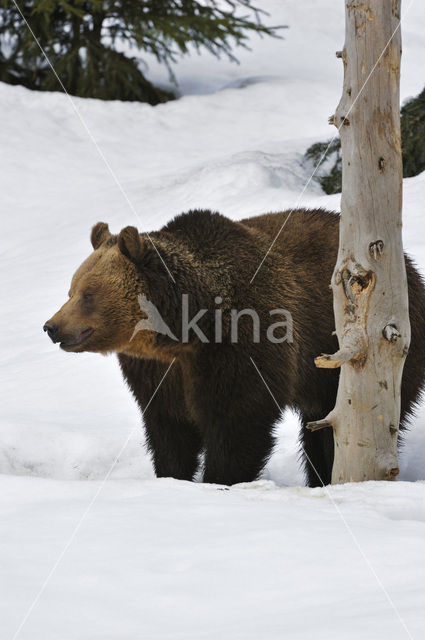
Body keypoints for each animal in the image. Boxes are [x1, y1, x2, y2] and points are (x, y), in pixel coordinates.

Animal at [43, 210, 424, 484]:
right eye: (71, 289)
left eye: (88, 294)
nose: (52, 327)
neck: (186, 331)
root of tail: (409, 265)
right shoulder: (160, 373)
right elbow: (169, 429)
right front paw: (172, 476)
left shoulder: (242, 345)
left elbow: (237, 423)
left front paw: (219, 480)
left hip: (380, 343)